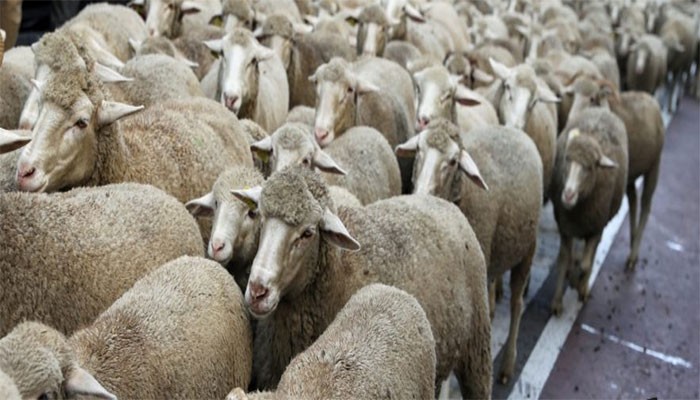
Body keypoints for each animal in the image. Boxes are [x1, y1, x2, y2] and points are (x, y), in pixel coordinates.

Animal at [395, 119, 542, 384]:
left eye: (454, 161)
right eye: (419, 149)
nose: (420, 195)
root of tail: (511, 128)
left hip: (528, 249)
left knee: (517, 304)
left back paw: (507, 364)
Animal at [550, 108, 628, 315]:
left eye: (590, 167)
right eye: (567, 159)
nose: (568, 195)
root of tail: (602, 109)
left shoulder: (596, 227)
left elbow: (585, 265)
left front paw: (579, 284)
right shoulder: (566, 227)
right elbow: (564, 260)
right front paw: (557, 301)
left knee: (589, 258)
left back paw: (582, 285)